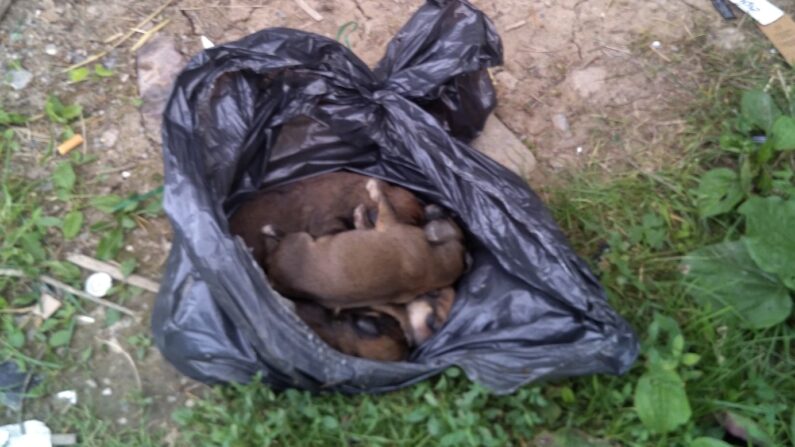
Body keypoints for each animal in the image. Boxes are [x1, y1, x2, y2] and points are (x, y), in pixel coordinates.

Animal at [264, 180, 470, 310]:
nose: (444, 208)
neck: (434, 265)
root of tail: (273, 275)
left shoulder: (388, 221)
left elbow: (383, 200)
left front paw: (373, 188)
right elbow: (367, 221)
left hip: (299, 238)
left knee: (282, 237)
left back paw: (270, 230)